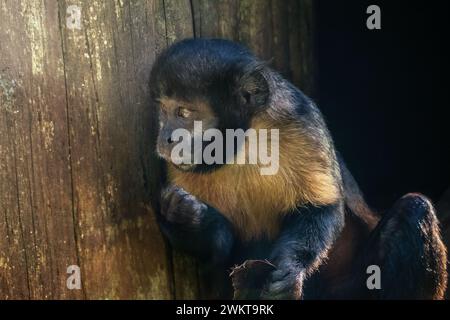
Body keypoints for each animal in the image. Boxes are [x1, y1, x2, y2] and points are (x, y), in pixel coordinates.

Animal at [149, 38, 446, 300]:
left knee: (413, 208)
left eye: (184, 113)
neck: (242, 142)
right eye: (164, 112)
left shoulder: (299, 120)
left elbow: (321, 209)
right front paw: (188, 218)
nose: (166, 137)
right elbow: (223, 254)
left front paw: (291, 271)